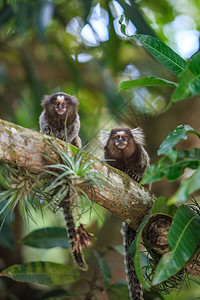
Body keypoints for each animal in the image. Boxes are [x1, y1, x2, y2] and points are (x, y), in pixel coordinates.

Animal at [39, 91, 92, 270]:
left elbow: (74, 132)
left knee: (77, 141)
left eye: (64, 104)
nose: (60, 108)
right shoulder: (44, 119)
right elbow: (44, 128)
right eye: (56, 104)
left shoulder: (75, 122)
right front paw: (52, 134)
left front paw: (66, 138)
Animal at [99, 127, 149, 300]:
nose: (121, 141)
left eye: (125, 137)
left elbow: (144, 165)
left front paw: (136, 174)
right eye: (116, 138)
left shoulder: (141, 154)